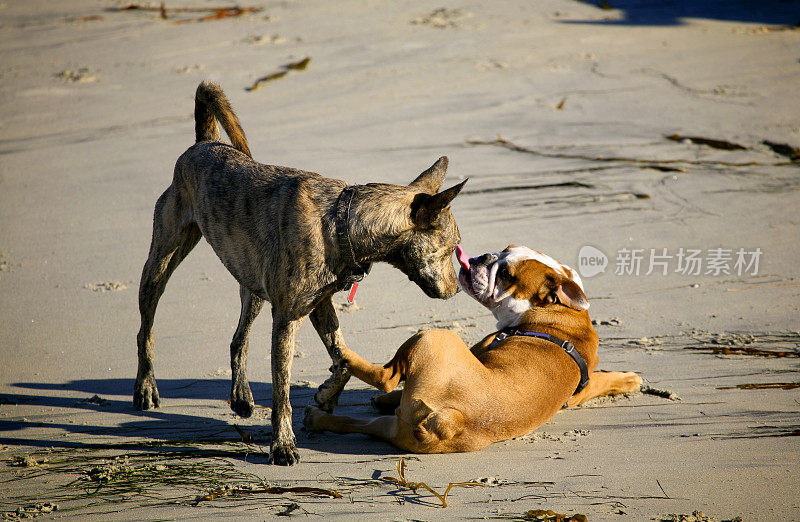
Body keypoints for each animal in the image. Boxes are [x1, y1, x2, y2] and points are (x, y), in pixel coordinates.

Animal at [134, 81, 466, 464]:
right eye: (452, 247)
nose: (458, 289)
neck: (343, 222)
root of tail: (203, 143)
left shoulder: (320, 304)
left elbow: (343, 360)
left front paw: (325, 396)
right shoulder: (288, 316)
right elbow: (282, 391)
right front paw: (283, 444)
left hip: (253, 285)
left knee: (238, 339)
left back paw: (241, 397)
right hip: (160, 263)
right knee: (146, 329)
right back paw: (145, 388)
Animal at [306, 244, 644, 450]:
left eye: (506, 274)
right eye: (504, 250)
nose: (483, 258)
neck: (561, 316)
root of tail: (452, 419)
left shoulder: (479, 348)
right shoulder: (578, 393)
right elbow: (602, 380)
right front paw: (629, 379)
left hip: (433, 336)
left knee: (386, 378)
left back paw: (345, 356)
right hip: (393, 428)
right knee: (356, 421)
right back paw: (320, 420)